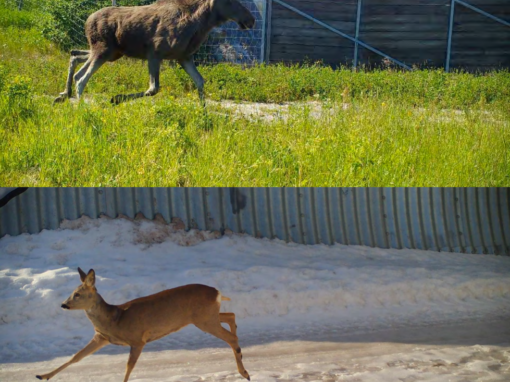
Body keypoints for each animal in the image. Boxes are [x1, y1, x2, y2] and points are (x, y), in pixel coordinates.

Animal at [35, 268, 251, 382]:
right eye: (72, 293)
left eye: (78, 294)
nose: (64, 304)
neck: (113, 318)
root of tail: (217, 292)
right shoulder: (101, 337)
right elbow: (76, 357)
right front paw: (42, 375)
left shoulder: (138, 339)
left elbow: (129, 365)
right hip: (206, 316)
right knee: (230, 316)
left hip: (204, 319)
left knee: (231, 336)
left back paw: (245, 372)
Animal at [52, 0, 255, 104]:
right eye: (230, 0)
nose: (251, 20)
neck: (200, 25)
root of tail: (87, 21)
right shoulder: (154, 53)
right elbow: (153, 88)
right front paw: (116, 98)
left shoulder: (183, 57)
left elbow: (200, 82)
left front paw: (203, 117)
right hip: (103, 50)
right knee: (81, 77)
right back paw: (81, 110)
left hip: (111, 52)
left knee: (74, 55)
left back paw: (63, 94)